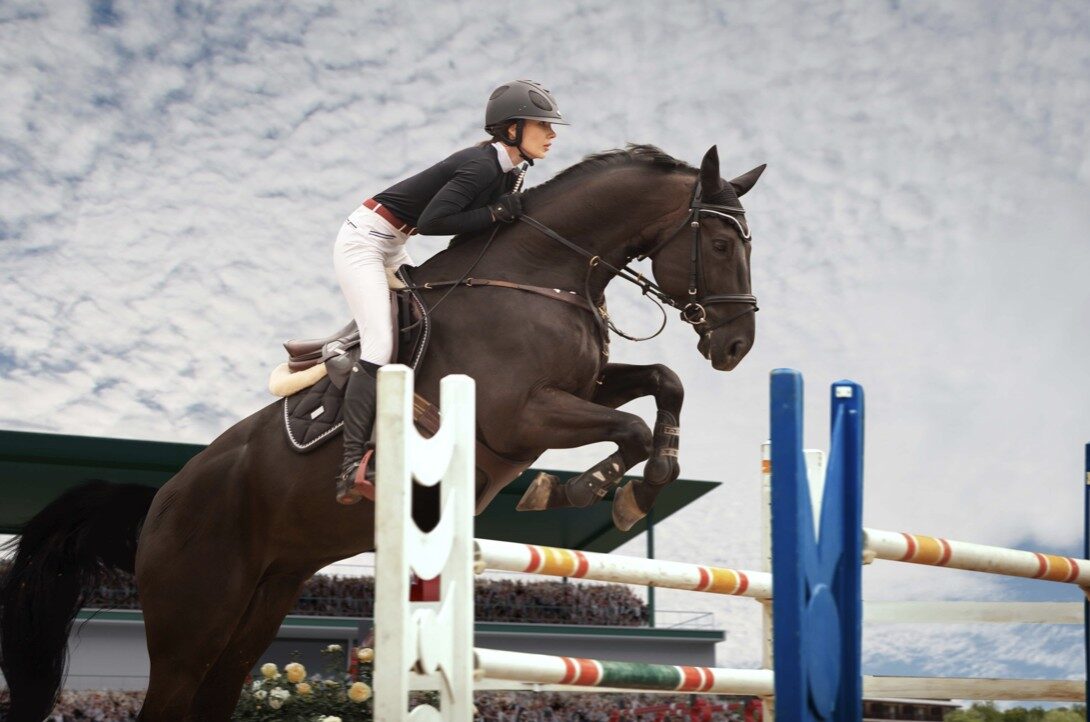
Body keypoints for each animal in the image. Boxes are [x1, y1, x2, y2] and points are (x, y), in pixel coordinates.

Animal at [0, 144, 764, 721]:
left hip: (260, 603)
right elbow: (628, 425)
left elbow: (663, 383)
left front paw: (645, 482)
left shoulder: (579, 387)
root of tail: (159, 499)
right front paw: (587, 490)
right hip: (193, 619)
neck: (542, 273)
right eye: (723, 242)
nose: (737, 347)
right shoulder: (520, 414)